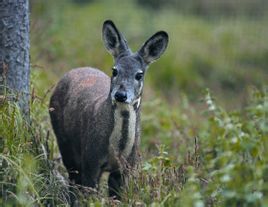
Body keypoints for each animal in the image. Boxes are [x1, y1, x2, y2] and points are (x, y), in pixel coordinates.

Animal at [49, 19, 169, 199]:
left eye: (139, 74)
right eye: (115, 70)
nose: (120, 94)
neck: (117, 151)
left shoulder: (125, 168)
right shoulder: (91, 159)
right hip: (64, 141)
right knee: (73, 180)